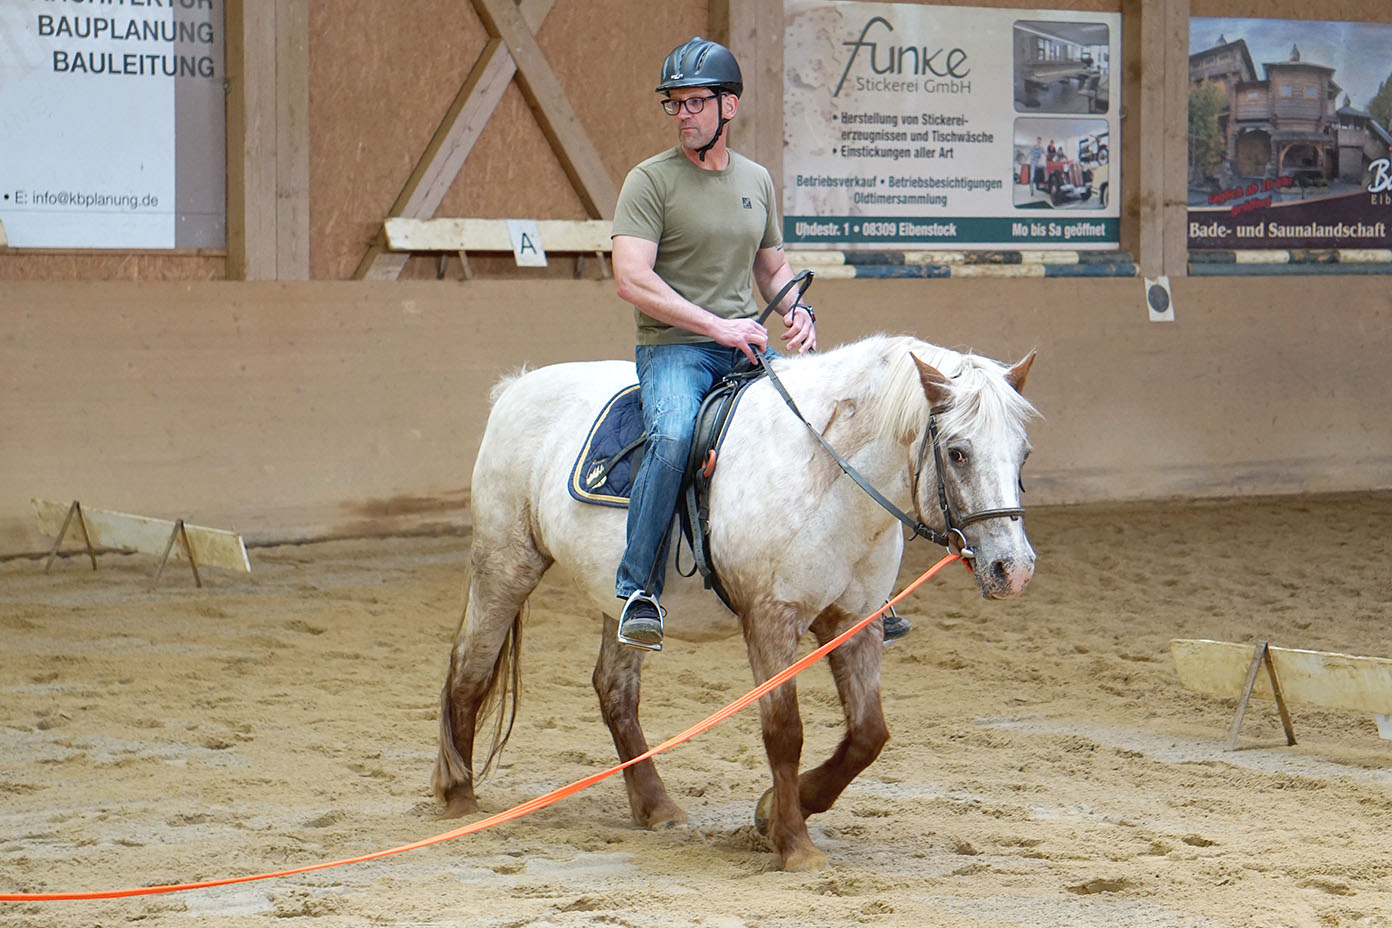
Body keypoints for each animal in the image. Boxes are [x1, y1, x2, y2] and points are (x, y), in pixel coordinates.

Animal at [432, 334, 1040, 871]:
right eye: (958, 452)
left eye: (1023, 453)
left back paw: (656, 806)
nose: (1013, 568)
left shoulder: (854, 620)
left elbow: (869, 734)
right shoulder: (771, 618)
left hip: (617, 596)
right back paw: (458, 794)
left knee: (615, 691)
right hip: (505, 565)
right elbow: (784, 731)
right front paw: (794, 845)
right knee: (470, 666)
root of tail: (517, 387)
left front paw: (775, 811)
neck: (827, 472)